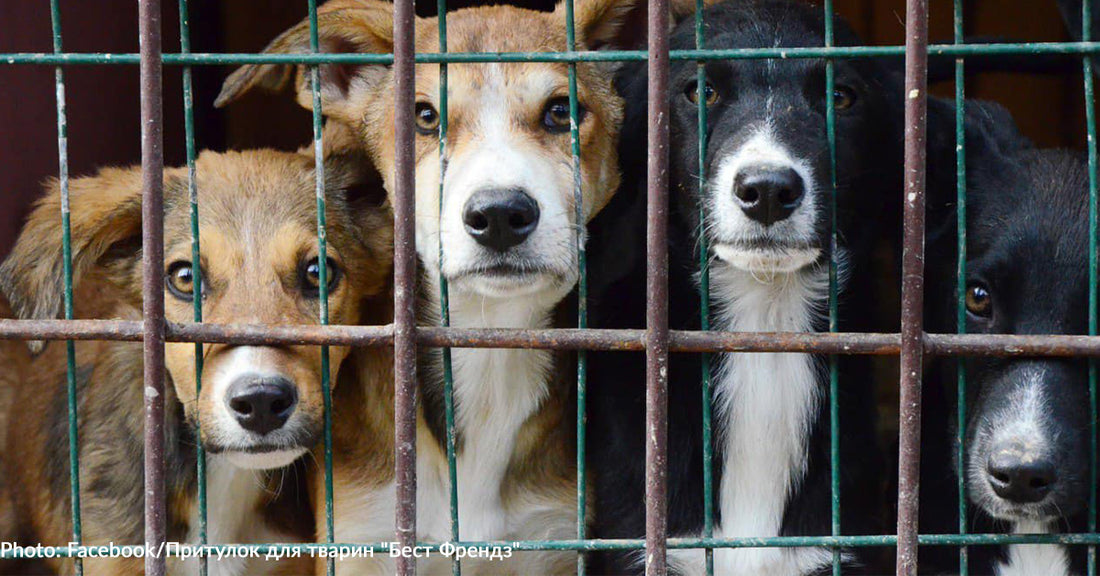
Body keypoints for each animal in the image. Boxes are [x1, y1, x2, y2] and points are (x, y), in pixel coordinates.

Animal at [214, 0, 642, 571]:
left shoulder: (552, 538)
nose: (500, 214)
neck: (489, 342)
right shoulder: (362, 539)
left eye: (561, 112)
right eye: (424, 116)